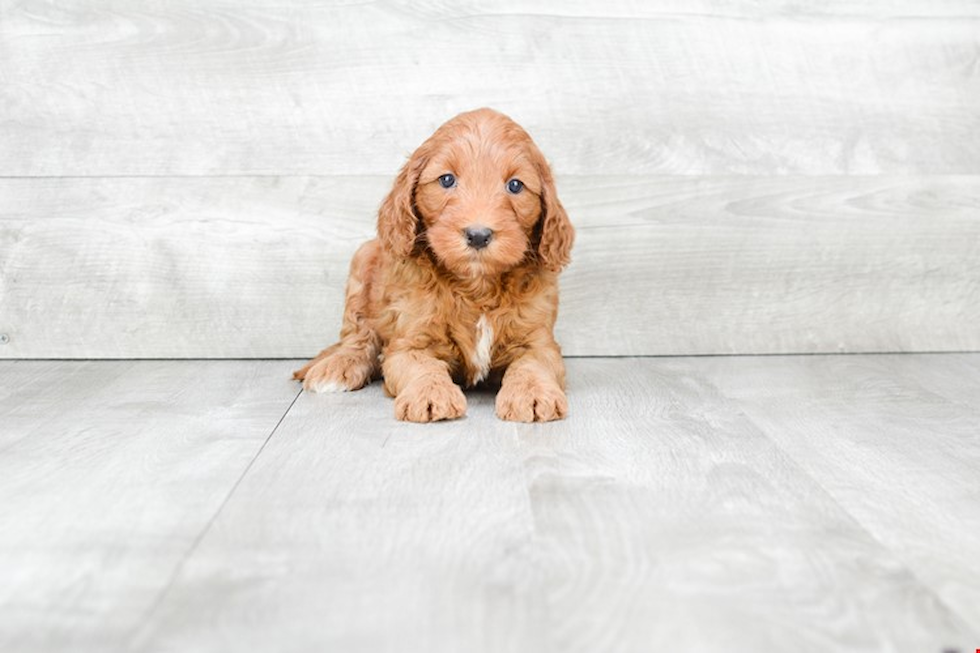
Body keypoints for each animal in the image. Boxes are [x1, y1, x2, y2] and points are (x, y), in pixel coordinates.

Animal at [298, 107, 576, 422]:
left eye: (515, 185)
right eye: (446, 180)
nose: (478, 235)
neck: (477, 284)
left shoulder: (540, 342)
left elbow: (532, 364)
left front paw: (533, 393)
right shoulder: (408, 344)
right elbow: (422, 365)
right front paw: (430, 394)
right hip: (363, 258)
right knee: (358, 335)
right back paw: (337, 366)